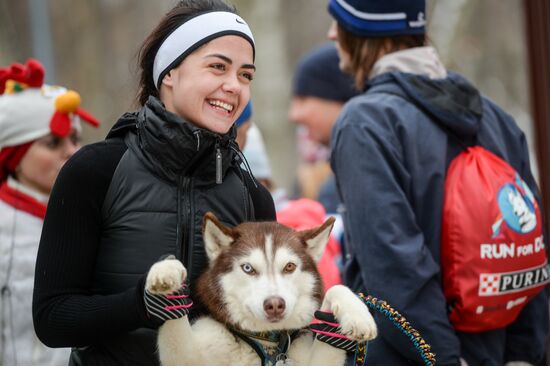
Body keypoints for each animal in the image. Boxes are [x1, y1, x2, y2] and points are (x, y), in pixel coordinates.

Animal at [147, 213, 380, 364]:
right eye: (248, 268)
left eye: (289, 267)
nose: (275, 305)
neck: (266, 341)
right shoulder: (191, 355)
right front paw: (167, 272)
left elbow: (337, 288)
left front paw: (359, 316)